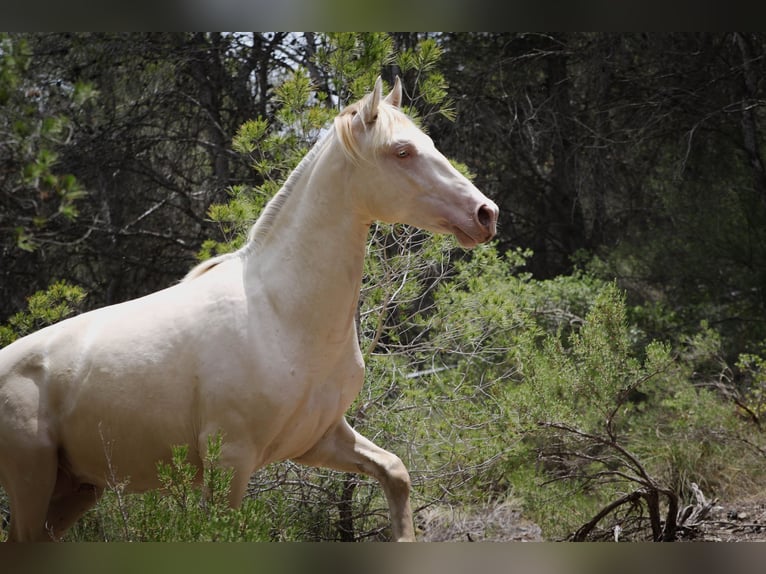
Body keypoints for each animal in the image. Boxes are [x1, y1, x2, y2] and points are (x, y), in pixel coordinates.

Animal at [0, 77, 498, 542]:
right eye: (402, 152)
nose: (485, 213)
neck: (281, 315)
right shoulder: (231, 463)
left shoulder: (321, 439)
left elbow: (395, 472)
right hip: (33, 484)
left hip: (75, 490)